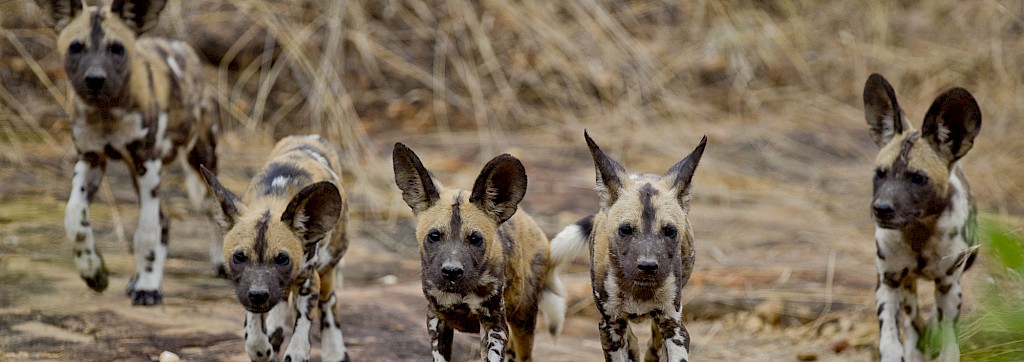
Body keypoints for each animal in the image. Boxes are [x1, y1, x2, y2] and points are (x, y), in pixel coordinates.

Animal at [36, 0, 220, 304]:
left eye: (117, 48)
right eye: (76, 47)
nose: (95, 79)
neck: (107, 112)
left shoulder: (147, 163)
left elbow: (146, 232)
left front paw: (148, 287)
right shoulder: (90, 160)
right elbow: (74, 218)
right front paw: (93, 271)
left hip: (200, 160)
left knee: (210, 208)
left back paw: (218, 264)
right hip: (139, 175)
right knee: (164, 219)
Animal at [199, 134, 352, 362]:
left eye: (282, 259)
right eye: (239, 257)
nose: (259, 295)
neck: (274, 199)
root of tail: (309, 136)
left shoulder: (308, 281)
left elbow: (297, 348)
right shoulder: (249, 290)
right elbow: (255, 341)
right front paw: (265, 351)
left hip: (326, 270)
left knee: (329, 302)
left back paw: (334, 352)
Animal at [389, 143, 569, 359]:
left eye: (475, 239)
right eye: (434, 236)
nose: (451, 271)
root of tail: (530, 220)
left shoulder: (494, 325)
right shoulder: (436, 319)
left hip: (523, 323)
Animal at [548, 132, 708, 362]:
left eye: (670, 231)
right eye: (625, 229)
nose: (648, 266)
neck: (640, 290)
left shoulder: (674, 326)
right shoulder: (611, 326)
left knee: (653, 341)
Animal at [864, 73, 983, 362]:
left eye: (918, 178)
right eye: (880, 173)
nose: (881, 209)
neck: (918, 232)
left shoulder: (949, 285)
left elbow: (948, 338)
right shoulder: (888, 281)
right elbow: (890, 339)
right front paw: (897, 351)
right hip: (905, 285)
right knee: (912, 321)